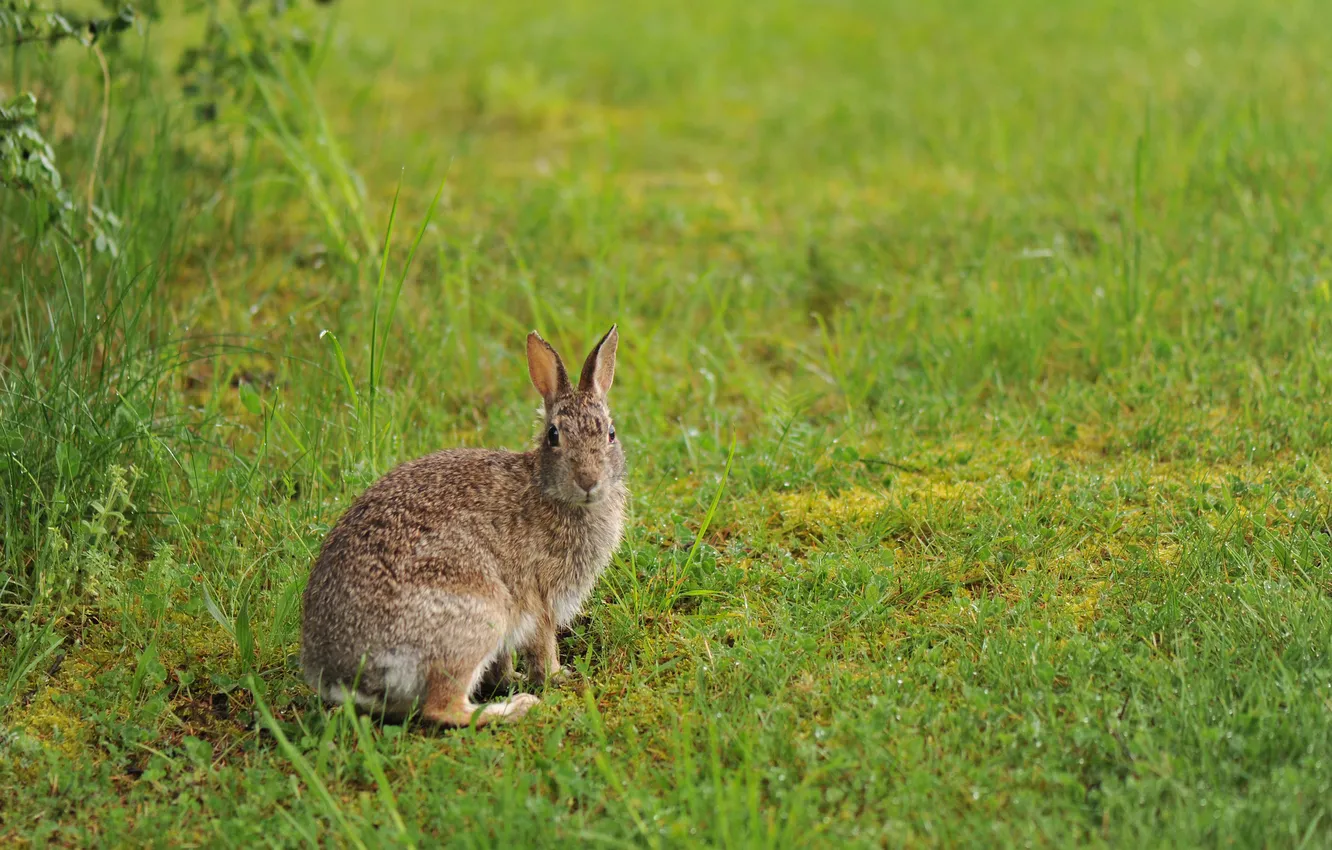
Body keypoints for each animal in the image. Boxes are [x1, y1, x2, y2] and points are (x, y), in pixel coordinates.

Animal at [302, 326, 628, 724]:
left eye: (610, 434)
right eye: (553, 435)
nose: (588, 481)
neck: (547, 488)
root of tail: (344, 678)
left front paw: (514, 678)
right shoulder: (540, 598)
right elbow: (543, 644)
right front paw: (557, 677)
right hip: (478, 618)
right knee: (443, 708)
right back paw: (517, 708)